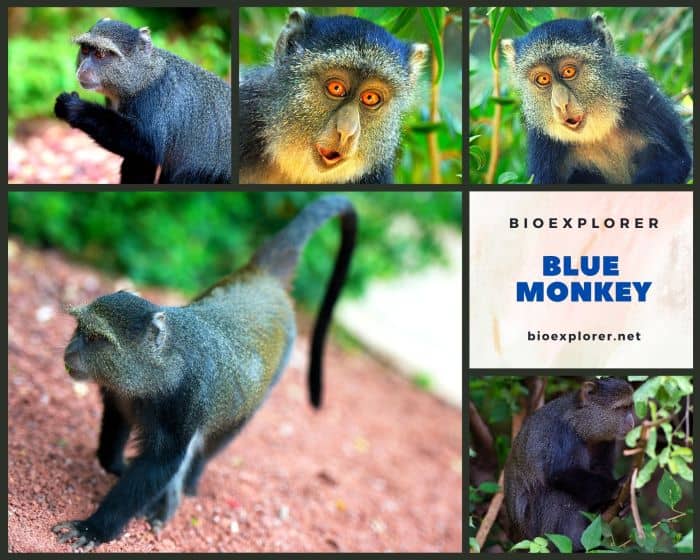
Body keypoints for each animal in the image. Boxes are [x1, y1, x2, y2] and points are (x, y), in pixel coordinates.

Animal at [51, 195, 357, 550]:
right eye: (79, 329)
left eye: (96, 339)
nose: (71, 350)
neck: (159, 370)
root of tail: (263, 279)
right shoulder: (119, 393)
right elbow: (117, 423)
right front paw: (115, 465)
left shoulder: (185, 399)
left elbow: (160, 463)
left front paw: (95, 528)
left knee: (217, 437)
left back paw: (188, 485)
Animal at [54, 18, 231, 184]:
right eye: (85, 50)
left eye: (100, 55)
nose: (83, 69)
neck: (142, 77)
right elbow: (140, 160)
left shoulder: (153, 98)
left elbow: (148, 146)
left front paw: (75, 108)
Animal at [501, 12, 691, 184]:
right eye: (543, 79)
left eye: (569, 71)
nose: (561, 104)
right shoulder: (542, 141)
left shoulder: (641, 93)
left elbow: (675, 160)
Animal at [503, 377, 635, 551]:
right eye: (621, 408)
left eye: (630, 407)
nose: (632, 423)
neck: (579, 422)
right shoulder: (563, 433)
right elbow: (561, 473)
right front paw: (615, 487)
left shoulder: (606, 440)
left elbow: (600, 468)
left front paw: (622, 501)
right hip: (536, 530)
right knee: (560, 493)